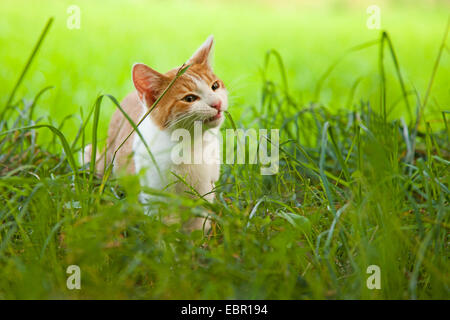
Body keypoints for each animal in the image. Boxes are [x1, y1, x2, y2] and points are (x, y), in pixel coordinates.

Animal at [84, 35, 227, 230]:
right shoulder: (155, 194)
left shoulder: (205, 190)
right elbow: (163, 226)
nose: (217, 103)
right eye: (189, 98)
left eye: (215, 86)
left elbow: (198, 222)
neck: (191, 145)